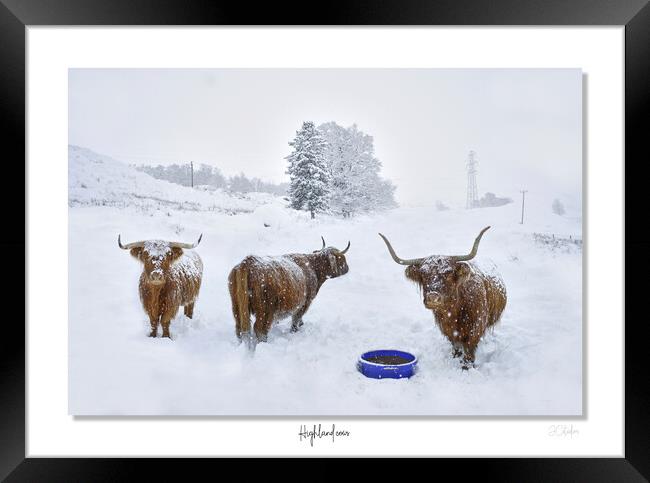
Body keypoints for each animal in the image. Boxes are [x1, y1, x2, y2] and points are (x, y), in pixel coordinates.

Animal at [374, 227, 506, 370]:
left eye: (448, 273)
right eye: (423, 274)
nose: (433, 297)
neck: (454, 311)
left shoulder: (475, 328)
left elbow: (469, 349)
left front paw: (466, 367)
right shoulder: (448, 330)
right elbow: (456, 346)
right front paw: (455, 357)